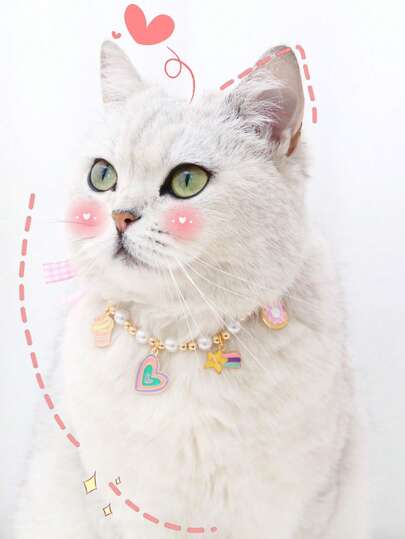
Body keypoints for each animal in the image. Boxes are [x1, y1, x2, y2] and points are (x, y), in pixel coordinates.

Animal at [12, 41, 369, 538]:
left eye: (187, 181)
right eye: (102, 175)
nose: (120, 216)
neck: (180, 335)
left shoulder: (301, 503)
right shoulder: (118, 504)